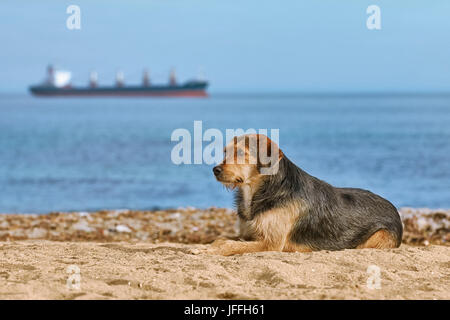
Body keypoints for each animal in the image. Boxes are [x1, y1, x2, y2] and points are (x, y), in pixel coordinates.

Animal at [211, 134, 404, 256]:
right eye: (225, 152)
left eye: (240, 153)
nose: (215, 170)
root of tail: (394, 209)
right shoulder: (248, 234)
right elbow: (222, 239)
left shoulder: (271, 243)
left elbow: (230, 244)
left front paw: (214, 249)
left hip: (376, 238)